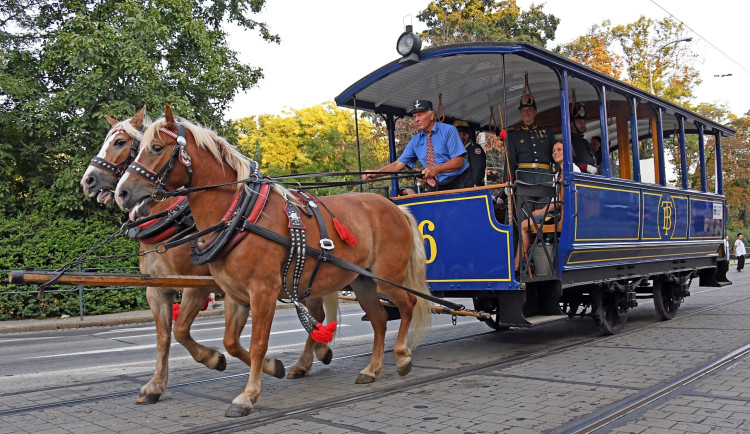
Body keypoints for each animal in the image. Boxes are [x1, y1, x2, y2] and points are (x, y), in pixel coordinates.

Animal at [81, 107, 336, 404]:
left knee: (317, 312)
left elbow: (181, 330)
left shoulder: (197, 285)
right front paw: (156, 385)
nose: (88, 180)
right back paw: (314, 354)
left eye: (120, 142)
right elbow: (163, 337)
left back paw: (311, 356)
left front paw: (217, 359)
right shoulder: (156, 289)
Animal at [116, 105, 434, 418]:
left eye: (156, 147)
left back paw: (402, 356)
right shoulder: (234, 294)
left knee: (407, 304)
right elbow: (230, 342)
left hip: (386, 277)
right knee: (378, 319)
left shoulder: (262, 292)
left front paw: (248, 395)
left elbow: (257, 343)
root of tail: (394, 207)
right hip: (362, 280)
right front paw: (268, 366)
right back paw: (371, 368)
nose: (122, 192)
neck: (240, 215)